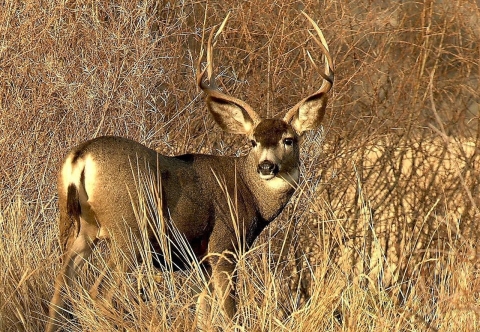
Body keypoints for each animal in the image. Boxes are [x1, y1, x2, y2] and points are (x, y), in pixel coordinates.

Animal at [47, 11, 334, 330]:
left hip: (82, 227)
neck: (250, 195)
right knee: (100, 292)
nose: (267, 166)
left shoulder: (203, 261)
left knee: (60, 289)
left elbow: (202, 311)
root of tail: (81, 156)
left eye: (289, 140)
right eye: (253, 141)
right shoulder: (223, 246)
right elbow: (229, 310)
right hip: (128, 230)